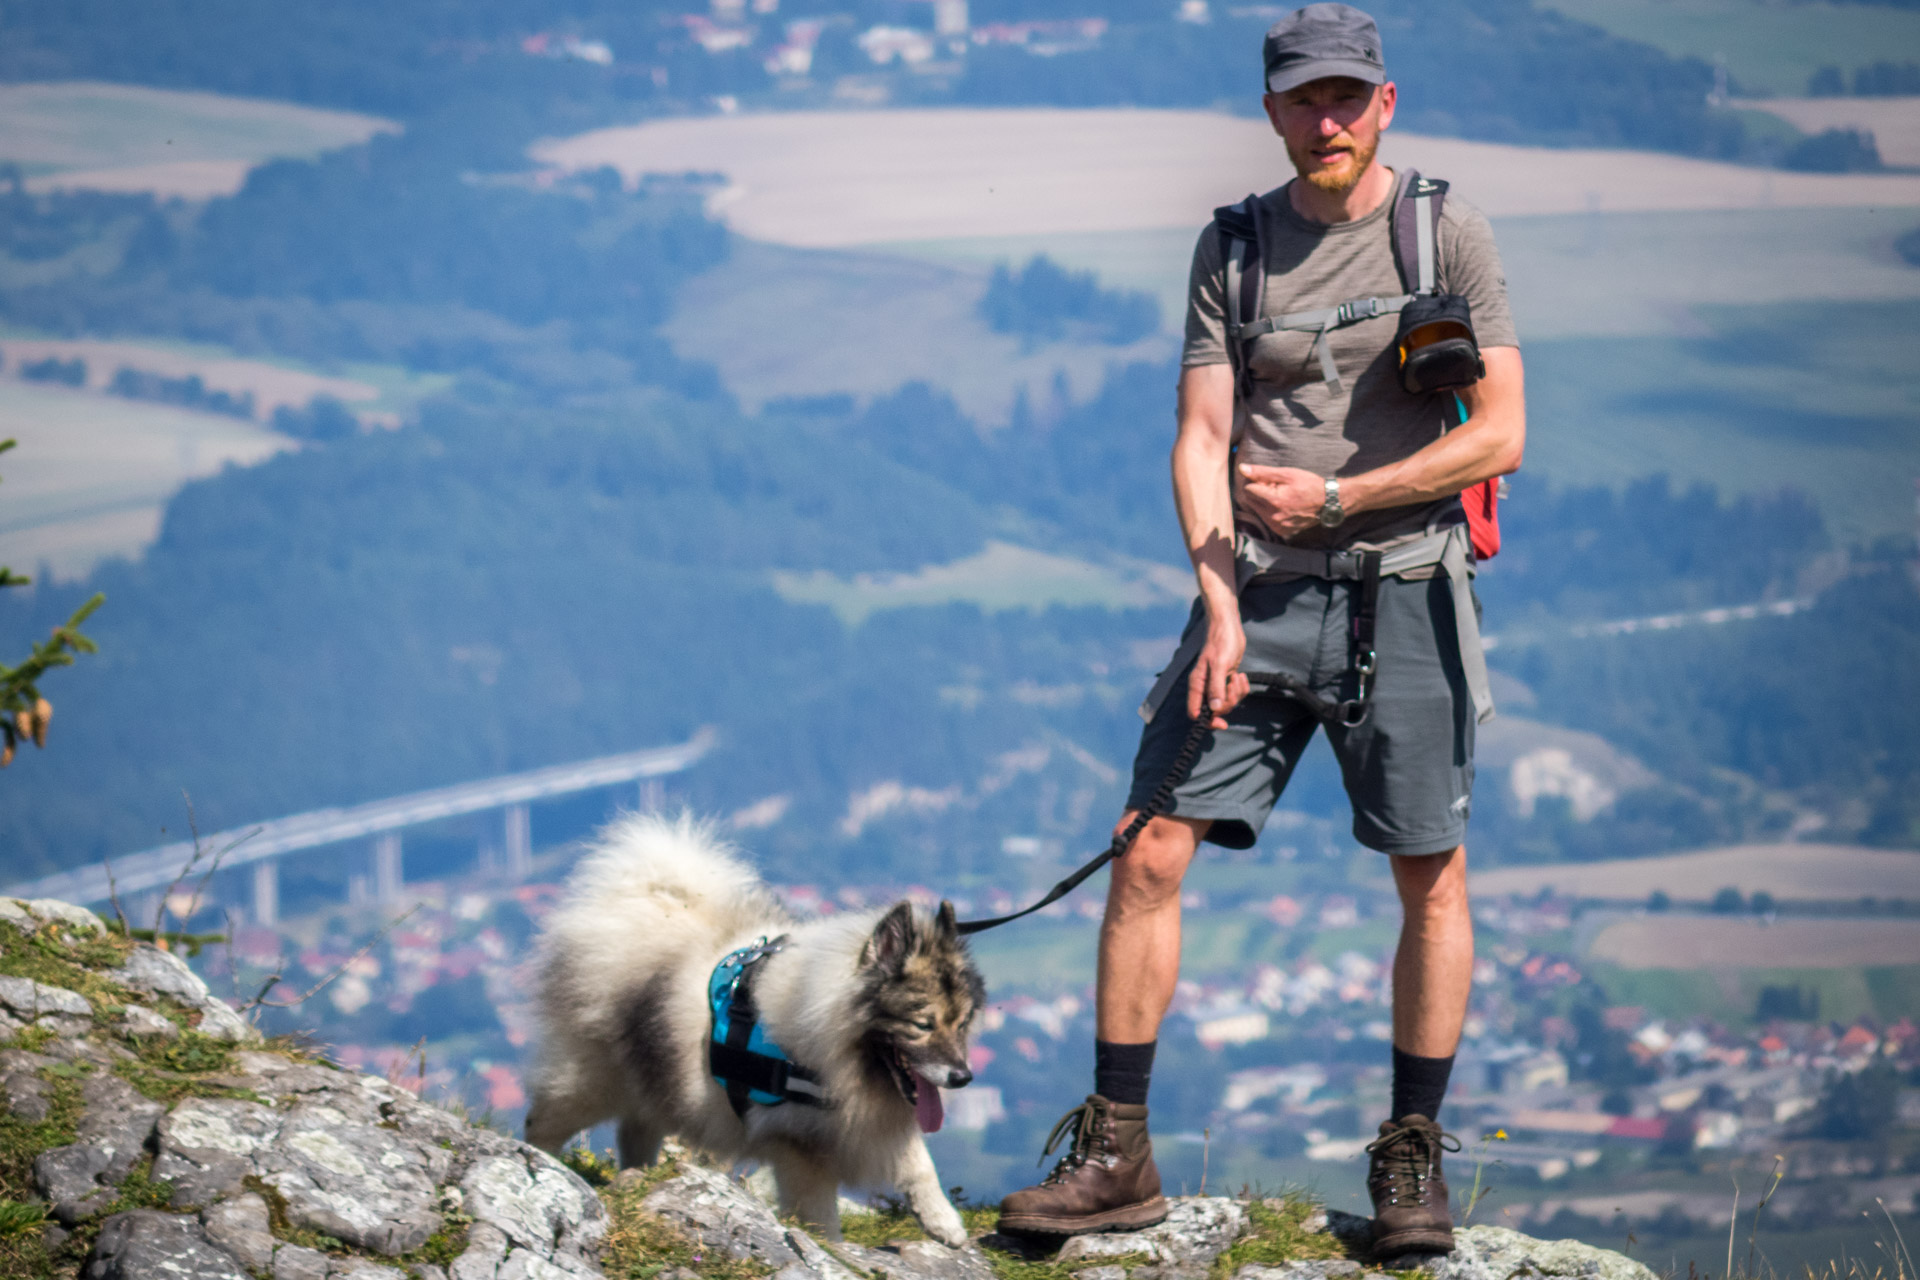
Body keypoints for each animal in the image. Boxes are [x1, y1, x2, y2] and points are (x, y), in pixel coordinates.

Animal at [526, 817, 990, 1243]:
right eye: (922, 1024)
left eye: (962, 1022)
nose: (962, 1077)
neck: (825, 1032)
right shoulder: (801, 1145)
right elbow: (819, 1211)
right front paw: (828, 1247)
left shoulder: (872, 1119)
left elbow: (919, 1163)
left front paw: (943, 1221)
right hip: (595, 1078)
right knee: (546, 1119)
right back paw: (543, 1163)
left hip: (655, 1074)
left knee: (635, 1127)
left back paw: (637, 1174)